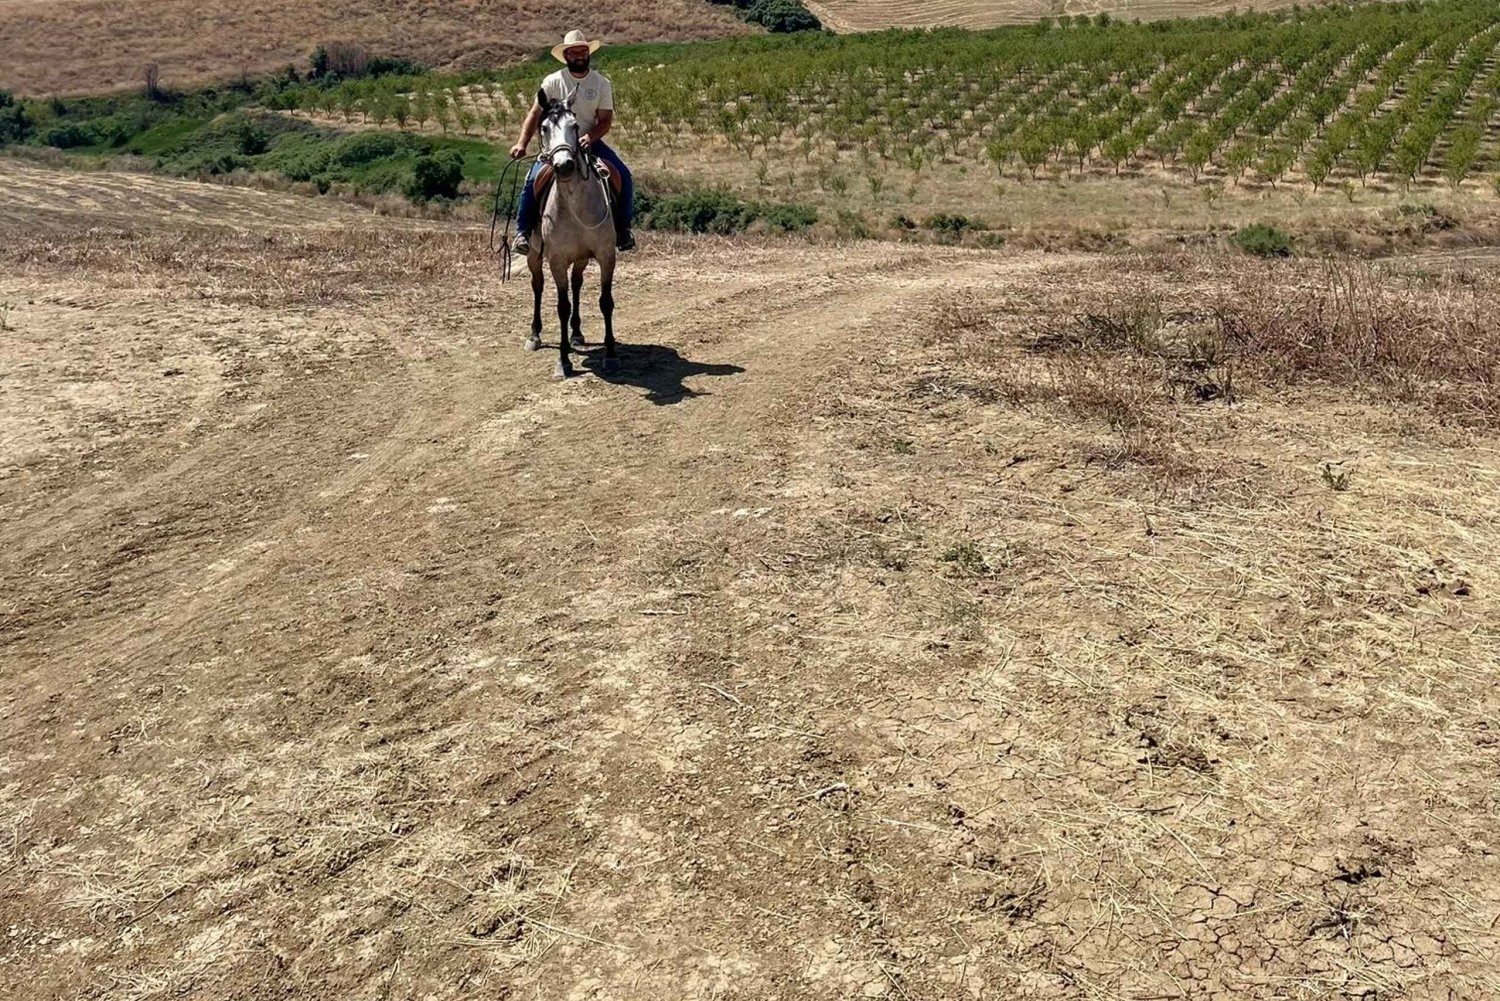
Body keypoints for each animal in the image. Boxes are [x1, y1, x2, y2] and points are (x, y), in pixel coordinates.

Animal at [524, 88, 619, 380]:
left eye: (575, 126)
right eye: (544, 128)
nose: (564, 165)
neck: (575, 203)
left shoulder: (605, 255)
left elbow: (605, 301)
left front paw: (611, 354)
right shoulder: (556, 260)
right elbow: (562, 306)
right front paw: (563, 360)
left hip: (581, 258)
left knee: (577, 284)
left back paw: (576, 332)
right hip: (534, 255)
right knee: (538, 286)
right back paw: (534, 335)